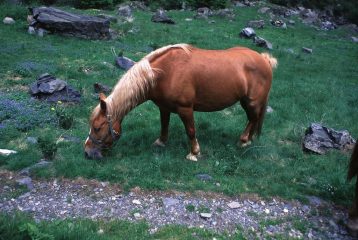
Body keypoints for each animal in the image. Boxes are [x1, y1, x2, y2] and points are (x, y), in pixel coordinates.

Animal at [84, 44, 276, 161]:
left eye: (97, 127)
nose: (87, 152)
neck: (165, 72)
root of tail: (264, 59)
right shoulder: (163, 108)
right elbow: (164, 125)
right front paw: (161, 142)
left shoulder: (185, 109)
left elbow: (190, 131)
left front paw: (193, 153)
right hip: (245, 101)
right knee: (252, 119)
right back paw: (248, 140)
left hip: (252, 102)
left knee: (253, 118)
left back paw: (243, 141)